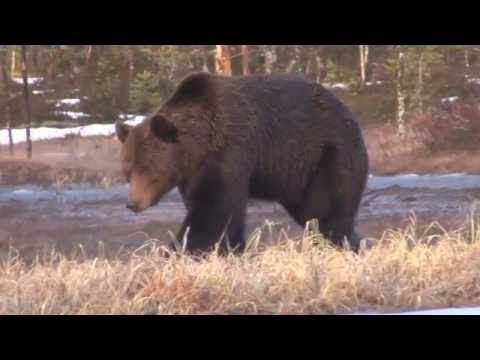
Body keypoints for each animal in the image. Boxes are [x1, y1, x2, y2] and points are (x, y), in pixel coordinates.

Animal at [114, 72, 370, 253]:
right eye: (127, 170)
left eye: (147, 170)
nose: (132, 203)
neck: (199, 145)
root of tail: (352, 118)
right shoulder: (193, 173)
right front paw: (233, 248)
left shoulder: (228, 152)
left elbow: (213, 211)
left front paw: (180, 250)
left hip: (327, 156)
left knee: (324, 212)